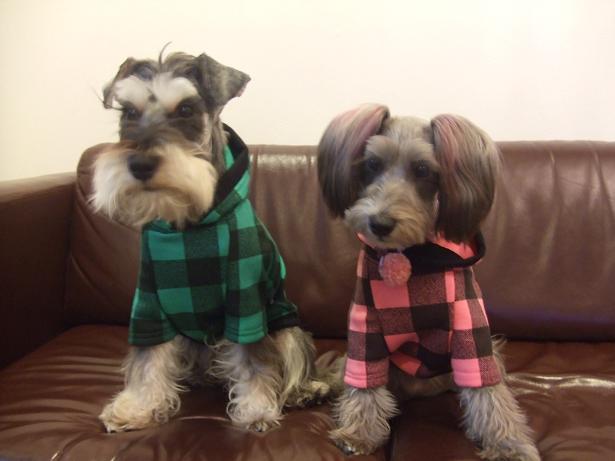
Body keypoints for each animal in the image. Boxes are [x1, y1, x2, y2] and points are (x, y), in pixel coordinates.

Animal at [91, 50, 330, 433]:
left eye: (186, 109)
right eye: (128, 112)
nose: (140, 164)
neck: (188, 225)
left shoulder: (246, 300)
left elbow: (253, 360)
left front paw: (257, 410)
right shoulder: (149, 302)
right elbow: (148, 358)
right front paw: (137, 407)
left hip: (285, 323)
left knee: (293, 360)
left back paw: (305, 392)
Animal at [317, 104, 540, 460]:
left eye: (422, 170)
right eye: (372, 164)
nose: (379, 223)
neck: (411, 259)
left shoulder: (469, 325)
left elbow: (489, 394)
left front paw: (508, 444)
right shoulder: (365, 325)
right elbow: (363, 383)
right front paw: (359, 432)